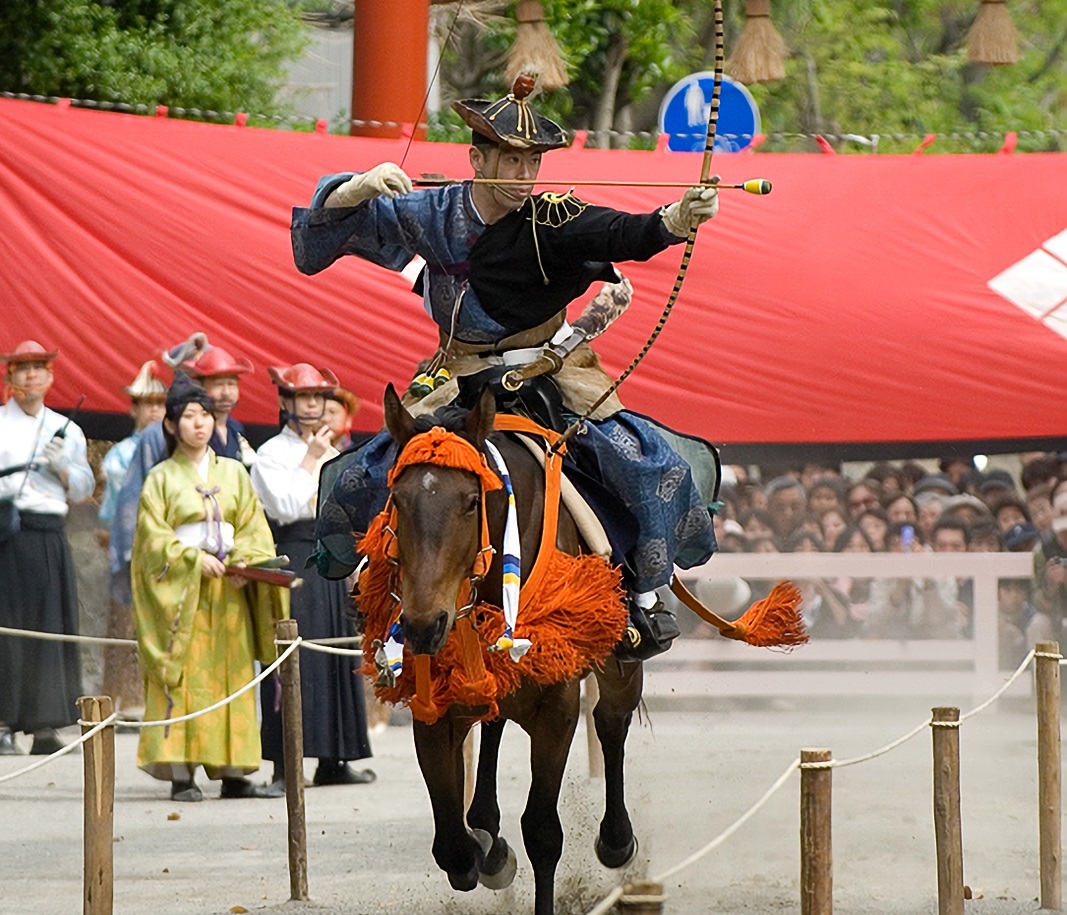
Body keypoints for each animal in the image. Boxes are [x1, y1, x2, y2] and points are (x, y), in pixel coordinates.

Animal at [381, 383, 640, 912]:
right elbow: (451, 847)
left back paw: (616, 839)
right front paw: (488, 853)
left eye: (470, 501)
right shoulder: (433, 703)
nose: (423, 624)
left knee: (611, 720)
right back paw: (488, 829)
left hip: (621, 656)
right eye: (398, 497)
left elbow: (542, 831)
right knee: (495, 724)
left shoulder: (557, 705)